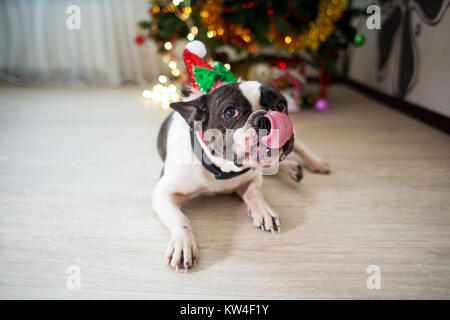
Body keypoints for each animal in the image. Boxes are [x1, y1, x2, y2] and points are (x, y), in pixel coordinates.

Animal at [153, 79, 328, 270]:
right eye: (230, 112)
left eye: (281, 105)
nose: (263, 118)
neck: (223, 169)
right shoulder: (163, 193)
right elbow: (180, 218)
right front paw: (183, 244)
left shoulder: (252, 177)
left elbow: (254, 192)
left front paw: (263, 210)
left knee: (299, 147)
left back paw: (315, 163)